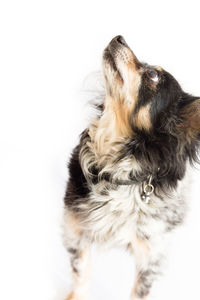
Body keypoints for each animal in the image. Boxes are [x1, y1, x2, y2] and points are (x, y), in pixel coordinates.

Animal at [63, 36, 200, 298]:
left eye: (152, 75)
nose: (119, 37)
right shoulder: (77, 229)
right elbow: (81, 276)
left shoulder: (151, 254)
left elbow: (139, 291)